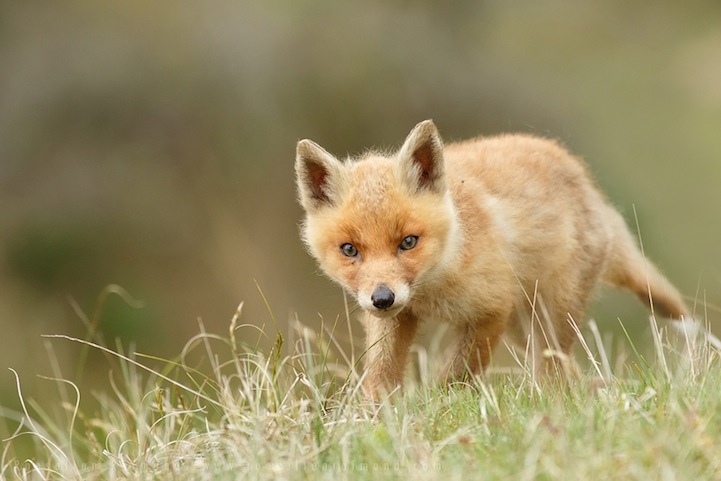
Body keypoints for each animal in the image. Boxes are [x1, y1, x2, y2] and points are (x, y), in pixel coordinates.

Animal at [294, 120, 692, 402]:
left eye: (408, 242)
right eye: (349, 250)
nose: (381, 298)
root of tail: (590, 187)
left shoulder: (491, 311)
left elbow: (456, 377)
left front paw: (441, 412)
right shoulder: (397, 320)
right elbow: (379, 377)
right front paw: (375, 423)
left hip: (549, 316)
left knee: (554, 368)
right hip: (523, 325)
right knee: (568, 372)